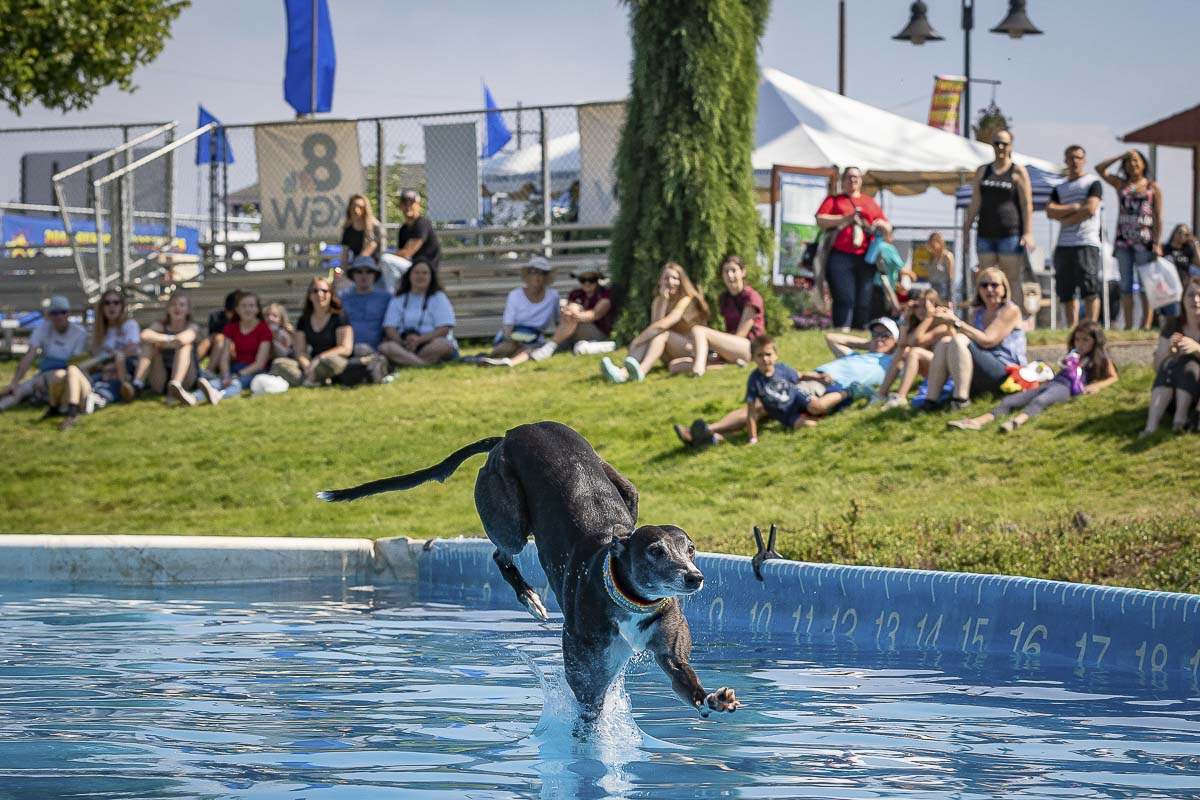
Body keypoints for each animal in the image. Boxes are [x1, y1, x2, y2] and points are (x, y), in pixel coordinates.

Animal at [314, 419, 734, 719]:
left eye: (692, 549)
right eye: (656, 552)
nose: (694, 578)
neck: (628, 596)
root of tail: (509, 434)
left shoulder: (669, 650)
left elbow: (682, 674)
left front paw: (711, 699)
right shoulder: (587, 674)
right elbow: (588, 710)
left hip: (626, 490)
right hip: (509, 517)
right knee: (501, 554)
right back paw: (529, 597)